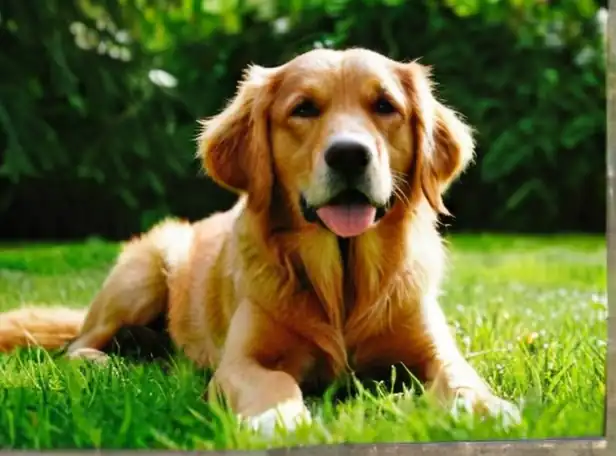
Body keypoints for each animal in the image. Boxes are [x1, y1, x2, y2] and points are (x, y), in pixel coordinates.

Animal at [0, 48, 520, 436]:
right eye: (304, 108)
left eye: (384, 106)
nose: (349, 155)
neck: (340, 282)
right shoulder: (241, 361)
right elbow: (274, 384)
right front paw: (278, 418)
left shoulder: (435, 349)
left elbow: (461, 378)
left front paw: (490, 409)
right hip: (146, 268)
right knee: (77, 347)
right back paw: (118, 362)